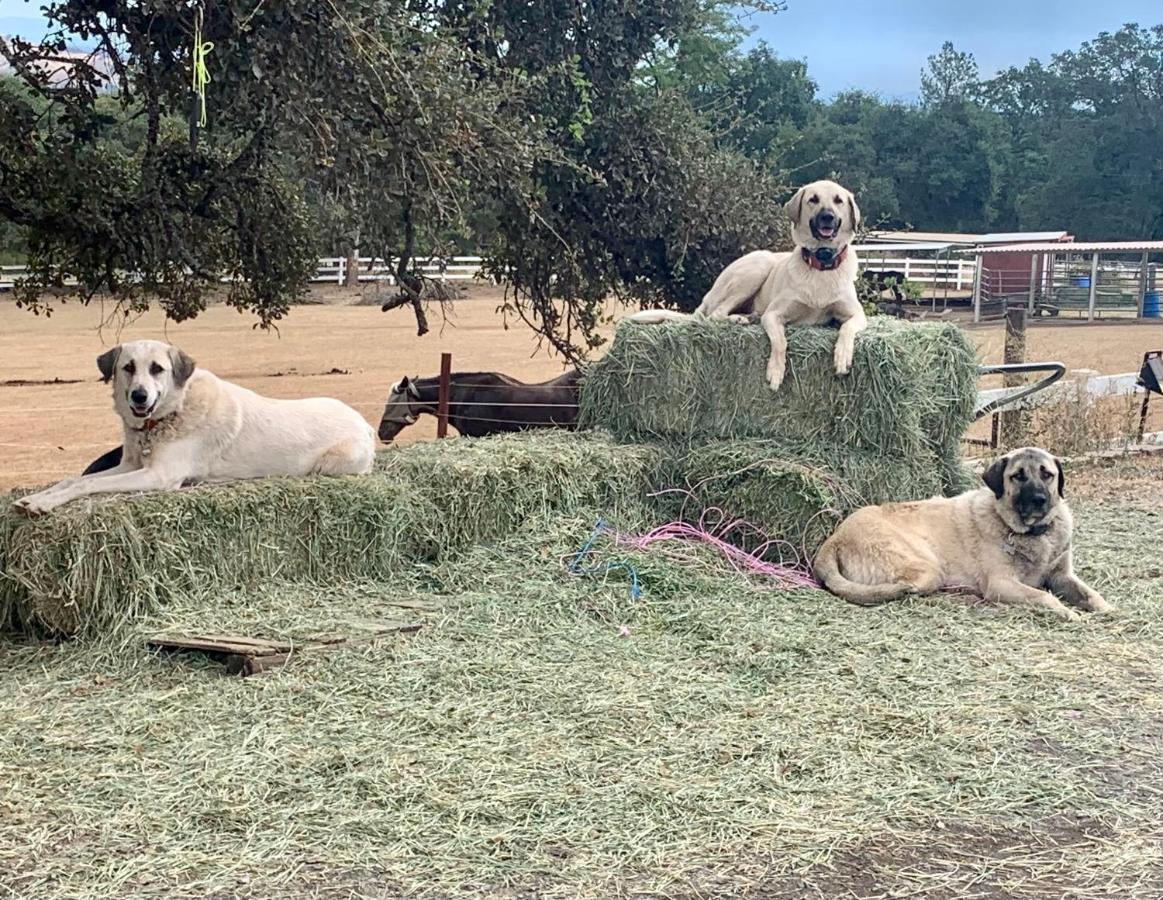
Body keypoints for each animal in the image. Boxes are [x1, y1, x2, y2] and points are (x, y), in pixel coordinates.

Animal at [13, 341, 376, 518]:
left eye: (157, 369)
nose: (139, 396)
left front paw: (43, 505)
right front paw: (34, 498)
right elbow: (72, 480)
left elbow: (85, 486)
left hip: (331, 465)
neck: (170, 413)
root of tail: (364, 422)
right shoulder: (130, 465)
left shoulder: (158, 476)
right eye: (128, 367)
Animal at [628, 180, 865, 390]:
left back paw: (747, 317)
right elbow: (780, 341)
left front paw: (842, 357)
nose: (828, 217)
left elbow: (846, 328)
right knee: (715, 314)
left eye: (838, 200)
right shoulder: (773, 314)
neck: (821, 264)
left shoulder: (857, 315)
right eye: (813, 199)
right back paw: (739, 319)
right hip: (759, 265)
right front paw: (775, 372)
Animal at [814, 448, 1111, 623]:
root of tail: (836, 536)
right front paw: (1067, 612)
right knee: (906, 589)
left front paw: (1106, 609)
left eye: (1047, 474)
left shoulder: (1063, 576)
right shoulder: (1002, 584)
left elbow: (1090, 593)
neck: (1033, 533)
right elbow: (1044, 596)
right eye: (1018, 476)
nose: (1039, 500)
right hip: (927, 567)